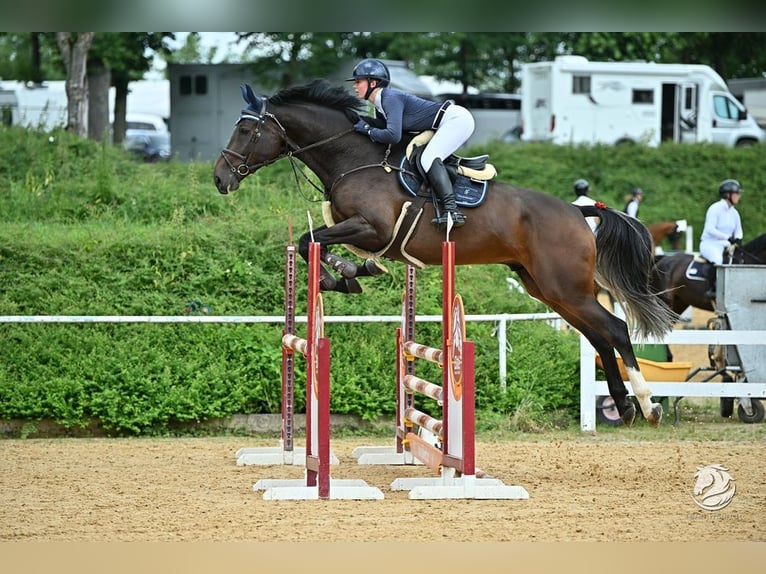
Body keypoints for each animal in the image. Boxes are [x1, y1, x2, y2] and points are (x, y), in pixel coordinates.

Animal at [214, 79, 680, 430]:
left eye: (246, 131)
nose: (220, 178)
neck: (351, 157)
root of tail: (577, 211)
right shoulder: (360, 231)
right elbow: (316, 242)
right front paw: (350, 273)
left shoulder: (372, 228)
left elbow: (313, 241)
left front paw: (344, 273)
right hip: (548, 290)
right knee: (598, 336)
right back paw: (624, 406)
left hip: (566, 288)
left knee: (614, 330)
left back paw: (648, 405)